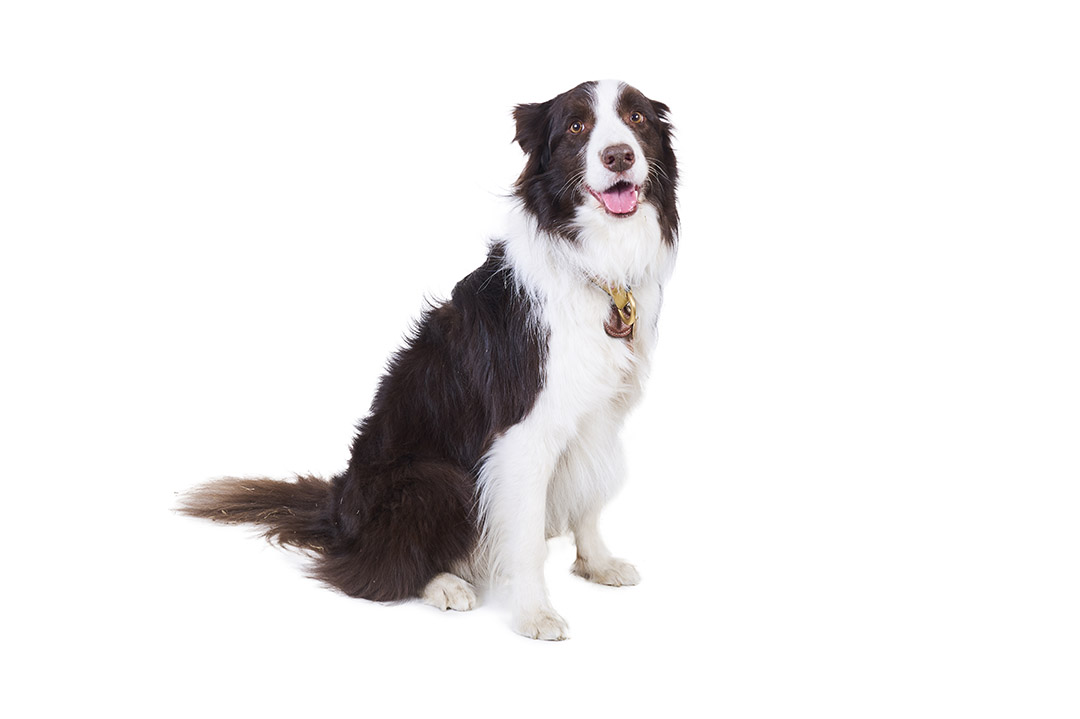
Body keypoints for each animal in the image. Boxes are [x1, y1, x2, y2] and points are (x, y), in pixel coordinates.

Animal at [180, 79, 679, 640]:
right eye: (577, 126)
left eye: (636, 118)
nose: (619, 156)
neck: (596, 265)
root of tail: (338, 513)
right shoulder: (522, 434)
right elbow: (526, 537)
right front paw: (534, 613)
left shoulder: (601, 416)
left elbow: (589, 499)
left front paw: (596, 564)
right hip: (437, 477)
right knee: (373, 570)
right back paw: (444, 584)